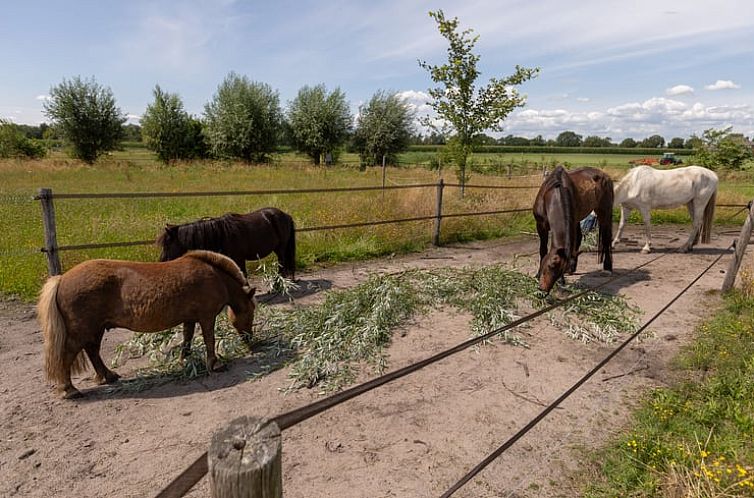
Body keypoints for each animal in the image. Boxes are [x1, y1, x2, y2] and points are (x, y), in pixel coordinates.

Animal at [36, 251, 256, 398]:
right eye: (251, 312)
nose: (251, 341)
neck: (215, 275)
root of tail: (62, 279)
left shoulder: (190, 318)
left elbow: (187, 338)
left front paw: (185, 359)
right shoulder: (206, 317)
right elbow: (209, 339)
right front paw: (215, 364)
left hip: (95, 330)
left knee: (92, 352)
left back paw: (107, 376)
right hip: (81, 331)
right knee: (67, 356)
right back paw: (70, 389)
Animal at [157, 205, 296, 278]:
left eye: (167, 244)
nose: (162, 261)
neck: (221, 234)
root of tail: (286, 215)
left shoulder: (239, 259)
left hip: (281, 248)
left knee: (282, 264)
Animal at [532, 165, 612, 294]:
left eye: (561, 271)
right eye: (551, 265)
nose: (544, 290)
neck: (552, 192)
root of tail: (605, 175)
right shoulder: (541, 225)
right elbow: (543, 250)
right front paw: (537, 275)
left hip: (604, 212)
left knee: (606, 238)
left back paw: (608, 268)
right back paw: (573, 267)